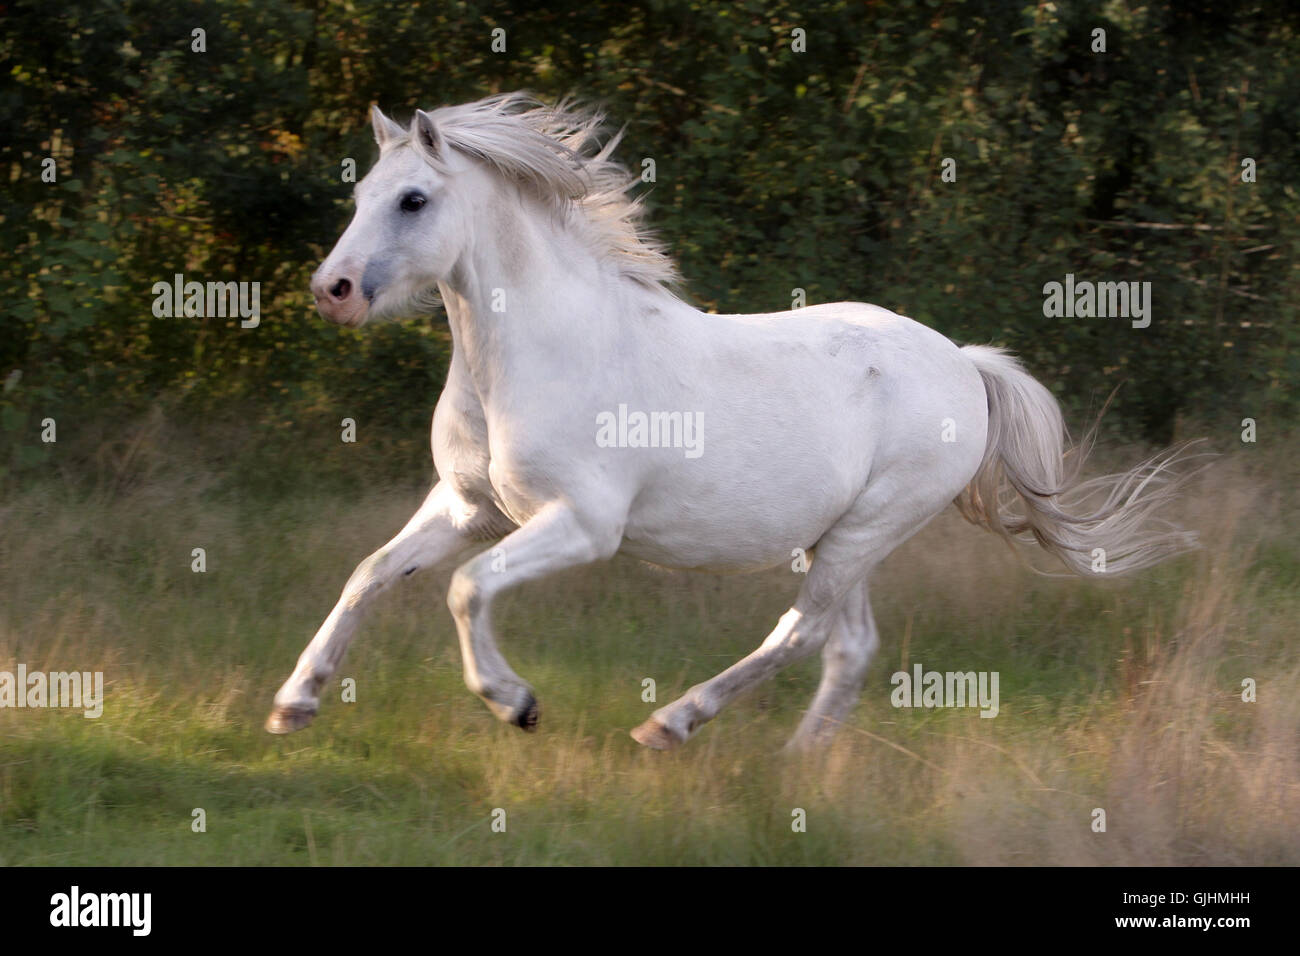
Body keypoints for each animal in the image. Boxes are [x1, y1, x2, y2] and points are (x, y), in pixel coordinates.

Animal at [263, 95, 1196, 754]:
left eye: (414, 199)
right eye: (361, 194)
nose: (331, 290)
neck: (531, 355)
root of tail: (966, 365)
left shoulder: (581, 526)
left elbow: (467, 588)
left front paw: (516, 704)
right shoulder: (467, 508)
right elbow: (371, 574)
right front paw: (293, 704)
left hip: (868, 529)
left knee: (802, 630)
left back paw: (671, 726)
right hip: (844, 538)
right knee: (848, 646)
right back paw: (795, 765)